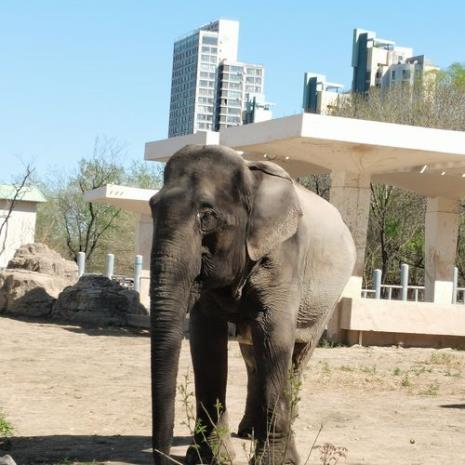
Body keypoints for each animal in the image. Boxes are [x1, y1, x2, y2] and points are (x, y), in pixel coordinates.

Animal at [150, 145, 356, 464]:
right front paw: (208, 458)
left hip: (329, 300)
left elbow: (275, 336)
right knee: (251, 358)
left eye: (207, 216)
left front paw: (276, 462)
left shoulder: (285, 254)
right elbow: (206, 341)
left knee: (299, 355)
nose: (166, 458)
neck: (250, 173)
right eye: (151, 207)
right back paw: (248, 431)